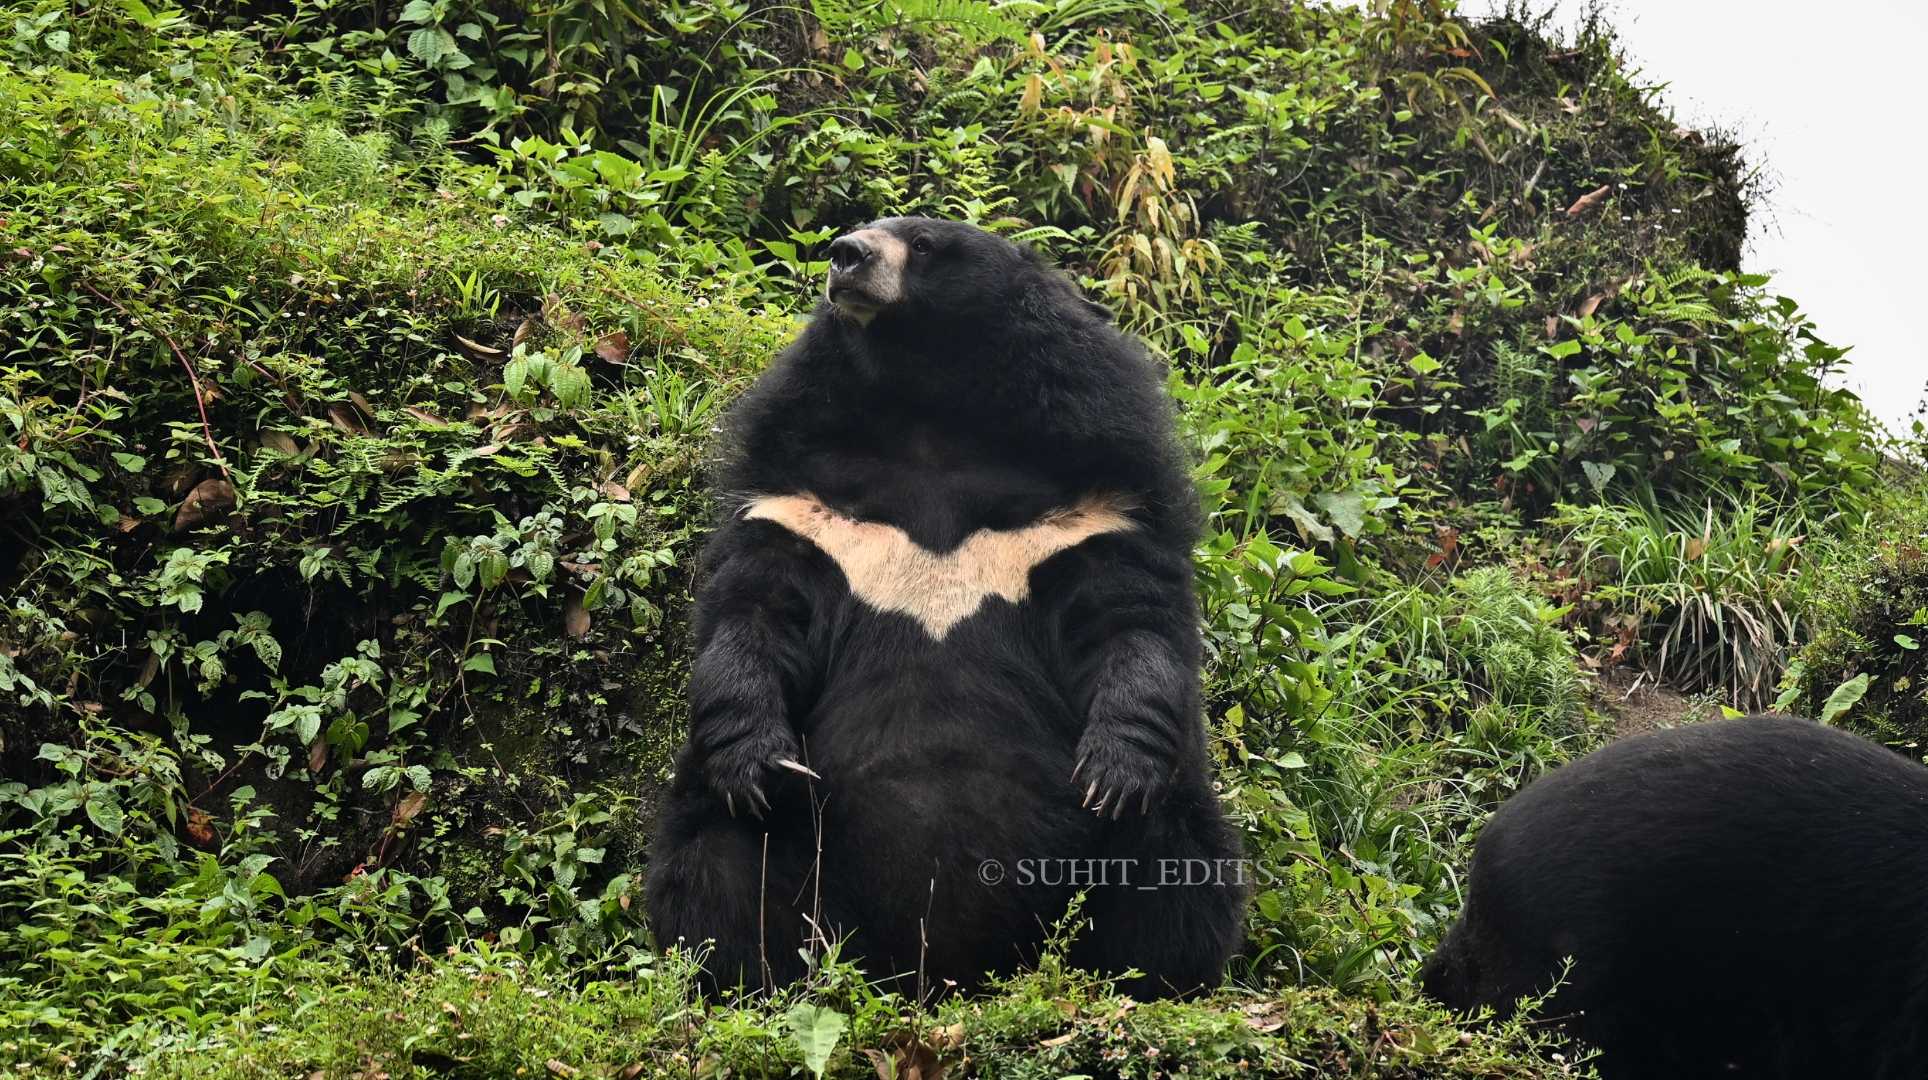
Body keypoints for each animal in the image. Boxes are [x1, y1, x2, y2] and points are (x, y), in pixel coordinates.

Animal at [643, 216, 1247, 1000]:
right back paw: (747, 980)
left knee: (1177, 859)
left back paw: (1147, 981)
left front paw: (1112, 772)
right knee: (715, 858)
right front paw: (760, 761)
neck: (930, 415)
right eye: (860, 232)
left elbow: (1129, 623)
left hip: (1130, 849)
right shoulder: (806, 504)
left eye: (924, 244)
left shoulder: (1089, 508)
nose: (845, 255)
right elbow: (755, 613)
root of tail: (938, 972)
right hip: (791, 856)